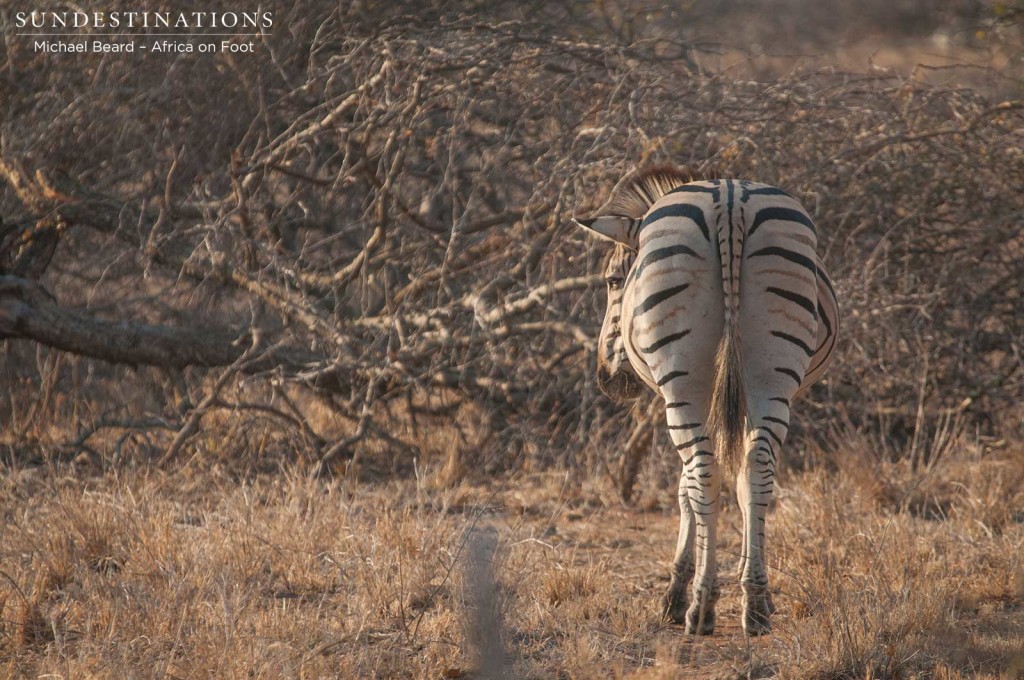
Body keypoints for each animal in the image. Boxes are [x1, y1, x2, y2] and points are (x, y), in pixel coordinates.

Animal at [573, 165, 835, 639]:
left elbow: (684, 489)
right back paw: (754, 606)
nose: (606, 381)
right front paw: (758, 591)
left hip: (682, 383)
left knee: (703, 473)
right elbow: (746, 487)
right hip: (773, 372)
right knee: (756, 469)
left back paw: (699, 606)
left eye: (613, 281)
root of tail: (730, 200)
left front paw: (675, 593)